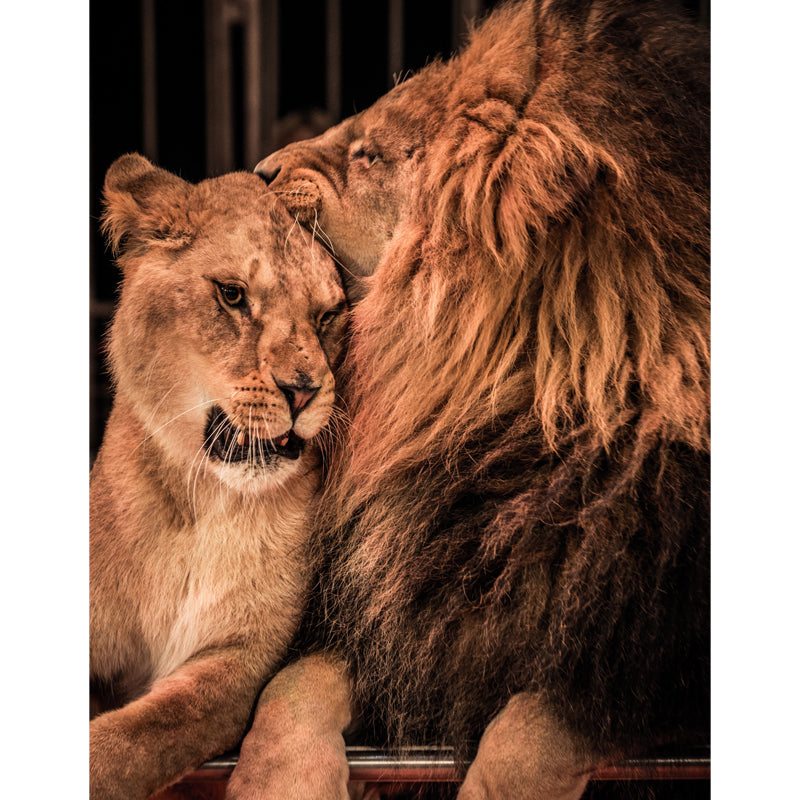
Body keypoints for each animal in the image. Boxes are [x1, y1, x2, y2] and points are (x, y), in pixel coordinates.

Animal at [90, 153, 347, 799]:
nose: (304, 390)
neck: (202, 503)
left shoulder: (239, 661)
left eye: (327, 315)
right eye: (233, 295)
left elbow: (134, 739)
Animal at [229, 1, 710, 799]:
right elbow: (292, 685)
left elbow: (534, 729)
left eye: (369, 154)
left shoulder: (634, 656)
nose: (262, 173)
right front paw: (277, 782)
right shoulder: (397, 616)